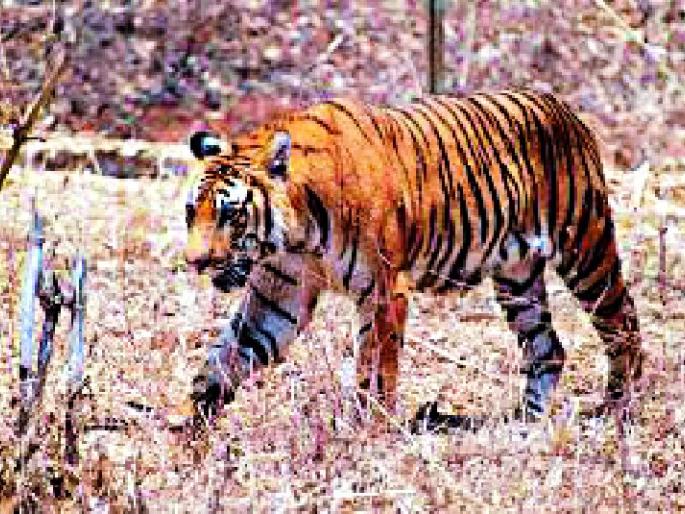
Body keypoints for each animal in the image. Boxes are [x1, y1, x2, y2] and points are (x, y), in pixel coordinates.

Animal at [184, 89, 643, 428]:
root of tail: (564, 109)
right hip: (517, 278)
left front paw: (369, 432)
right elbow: (224, 358)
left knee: (622, 322)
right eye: (192, 211)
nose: (194, 262)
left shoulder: (384, 291)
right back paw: (523, 424)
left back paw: (618, 410)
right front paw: (192, 434)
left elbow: (375, 371)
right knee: (547, 348)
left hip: (586, 249)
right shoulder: (279, 296)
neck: (296, 237)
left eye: (230, 213)